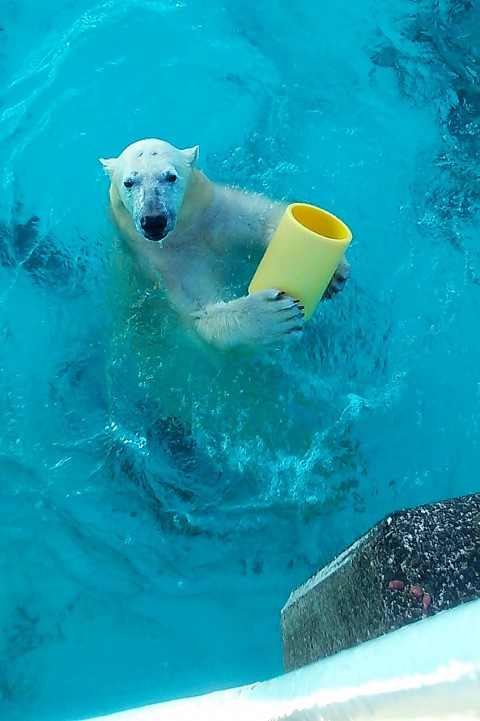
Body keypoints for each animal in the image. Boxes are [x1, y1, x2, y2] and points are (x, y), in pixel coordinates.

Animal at [100, 139, 348, 352]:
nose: (153, 219)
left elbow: (264, 216)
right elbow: (199, 314)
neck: (184, 234)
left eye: (170, 177)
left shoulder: (217, 213)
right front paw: (275, 316)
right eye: (129, 183)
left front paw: (335, 273)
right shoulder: (167, 266)